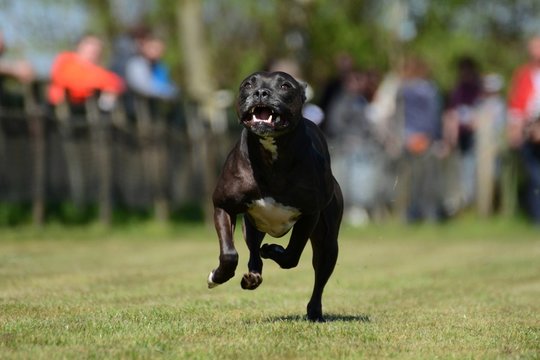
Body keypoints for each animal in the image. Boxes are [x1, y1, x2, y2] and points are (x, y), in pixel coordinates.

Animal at [207, 70, 342, 320]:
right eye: (248, 84)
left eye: (285, 86)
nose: (261, 92)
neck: (271, 154)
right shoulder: (223, 206)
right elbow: (229, 254)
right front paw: (217, 277)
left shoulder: (310, 213)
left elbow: (292, 255)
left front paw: (274, 250)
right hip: (252, 226)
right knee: (253, 252)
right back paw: (253, 277)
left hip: (328, 242)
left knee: (320, 276)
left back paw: (314, 311)